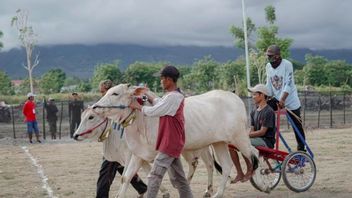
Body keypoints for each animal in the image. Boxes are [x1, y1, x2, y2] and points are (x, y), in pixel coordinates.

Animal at [74, 109, 220, 197]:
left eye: (91, 117)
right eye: (82, 116)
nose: (75, 135)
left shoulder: (131, 155)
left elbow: (127, 176)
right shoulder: (139, 157)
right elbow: (142, 173)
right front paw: (163, 192)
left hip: (195, 150)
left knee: (200, 164)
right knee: (205, 164)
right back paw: (203, 189)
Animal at [92, 84, 262, 198]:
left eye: (115, 93)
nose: (95, 107)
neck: (143, 120)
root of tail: (235, 98)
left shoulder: (160, 152)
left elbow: (158, 175)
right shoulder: (138, 154)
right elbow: (126, 177)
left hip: (239, 138)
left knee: (254, 154)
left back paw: (261, 183)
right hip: (218, 143)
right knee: (226, 166)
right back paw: (216, 193)